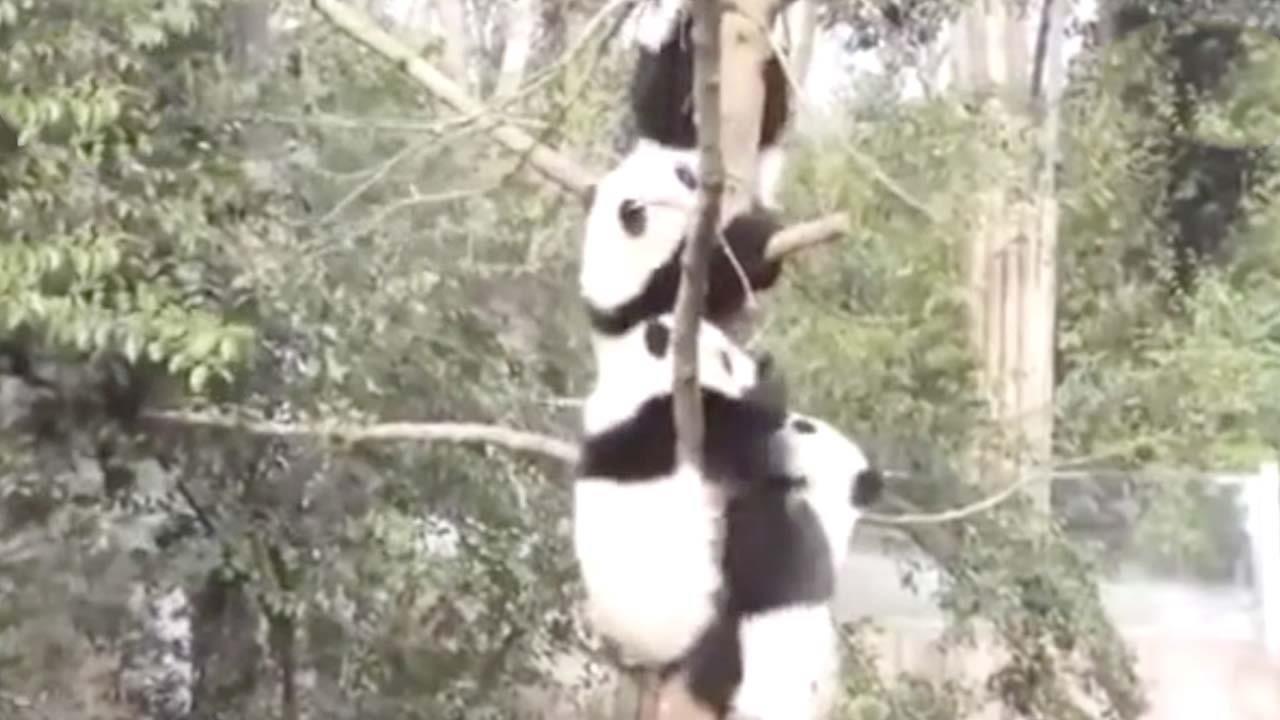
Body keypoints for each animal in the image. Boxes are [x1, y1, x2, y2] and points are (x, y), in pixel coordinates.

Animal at [573, 311, 788, 666]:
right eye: (725, 359)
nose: (761, 364)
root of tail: (637, 654)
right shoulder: (665, 418)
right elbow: (747, 441)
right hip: (696, 609)